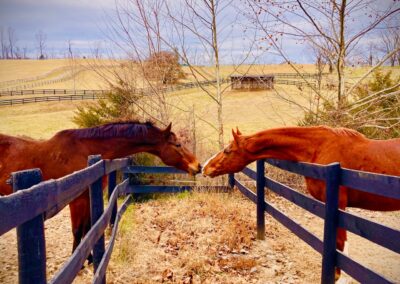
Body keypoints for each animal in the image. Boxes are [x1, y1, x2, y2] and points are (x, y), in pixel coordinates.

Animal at [0, 120, 200, 262]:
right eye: (177, 145)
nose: (197, 166)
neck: (86, 150)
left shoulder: (89, 197)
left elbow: (88, 227)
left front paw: (88, 258)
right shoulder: (77, 200)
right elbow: (78, 230)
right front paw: (78, 261)